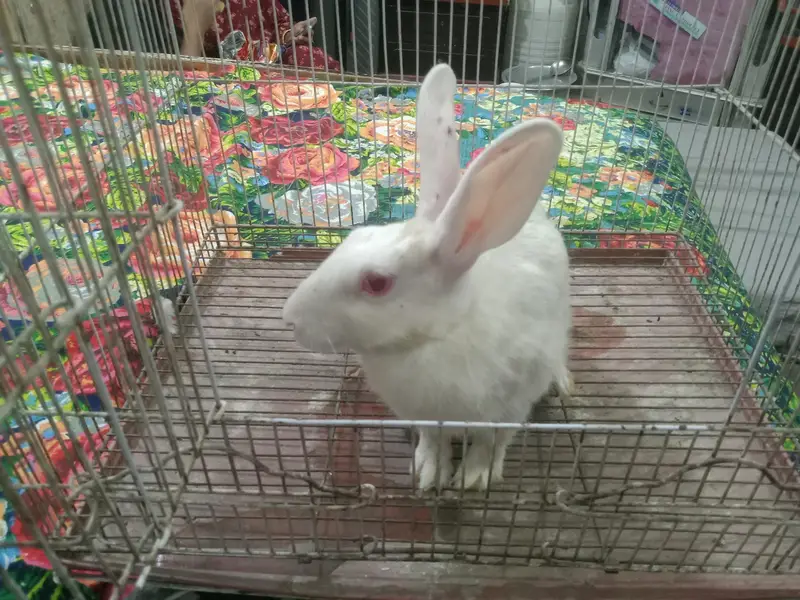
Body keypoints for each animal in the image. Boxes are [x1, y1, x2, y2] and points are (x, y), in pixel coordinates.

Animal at [282, 63, 571, 491]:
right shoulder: (425, 417)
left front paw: (474, 479)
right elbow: (434, 443)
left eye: (377, 283)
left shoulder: (509, 409)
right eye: (353, 237)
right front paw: (429, 475)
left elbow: (489, 443)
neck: (437, 336)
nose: (290, 319)